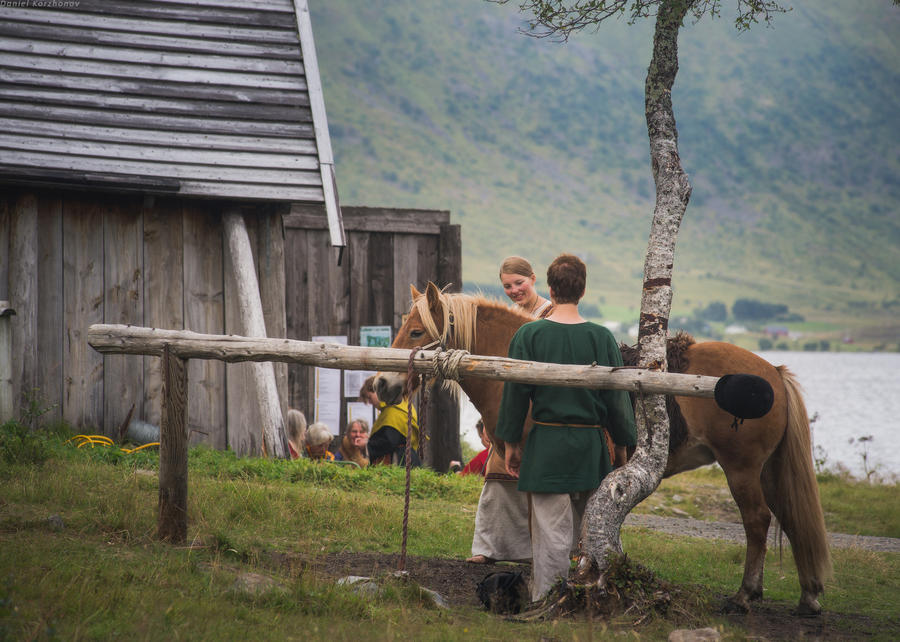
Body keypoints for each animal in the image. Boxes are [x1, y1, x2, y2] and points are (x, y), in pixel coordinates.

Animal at [376, 282, 832, 612]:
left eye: (415, 331)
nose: (381, 384)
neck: (517, 366)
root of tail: (771, 372)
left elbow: (541, 526)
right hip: (766, 470)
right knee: (791, 520)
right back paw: (808, 594)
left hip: (741, 469)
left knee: (758, 521)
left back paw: (744, 595)